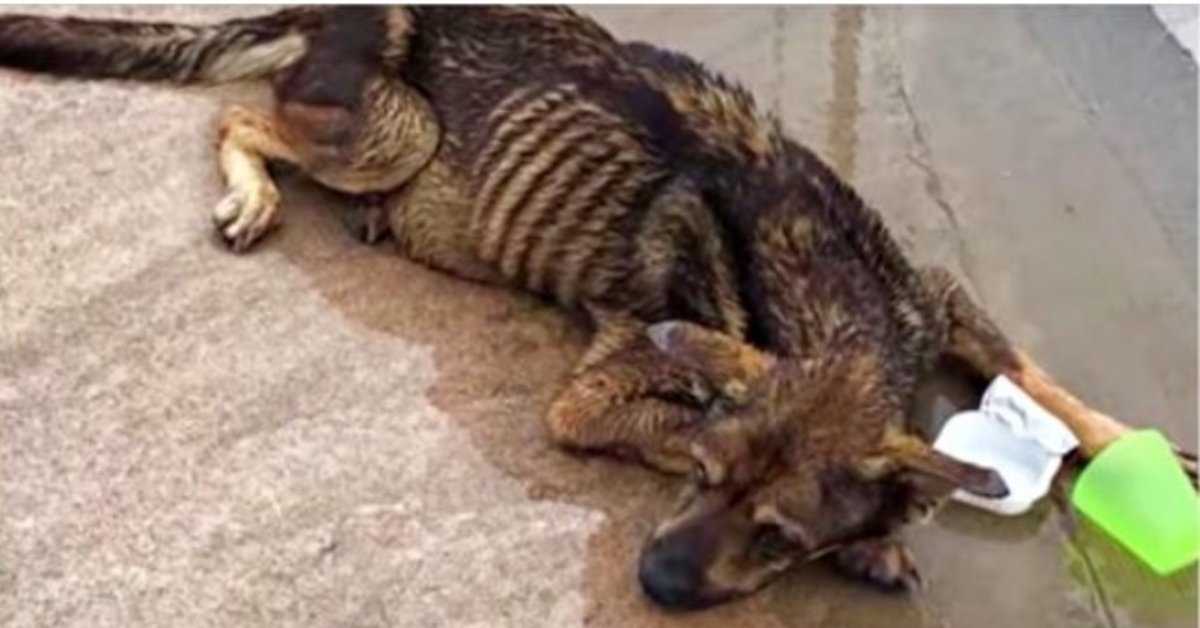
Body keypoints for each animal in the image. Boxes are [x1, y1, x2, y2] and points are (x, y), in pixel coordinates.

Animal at [0, 6, 1190, 614]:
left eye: (777, 530)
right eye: (704, 483)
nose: (651, 584)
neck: (829, 302)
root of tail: (351, 4)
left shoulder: (932, 293)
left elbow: (1033, 371)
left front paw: (1122, 438)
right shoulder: (593, 397)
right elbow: (666, 415)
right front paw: (876, 544)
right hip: (396, 131)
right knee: (238, 119)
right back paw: (254, 193)